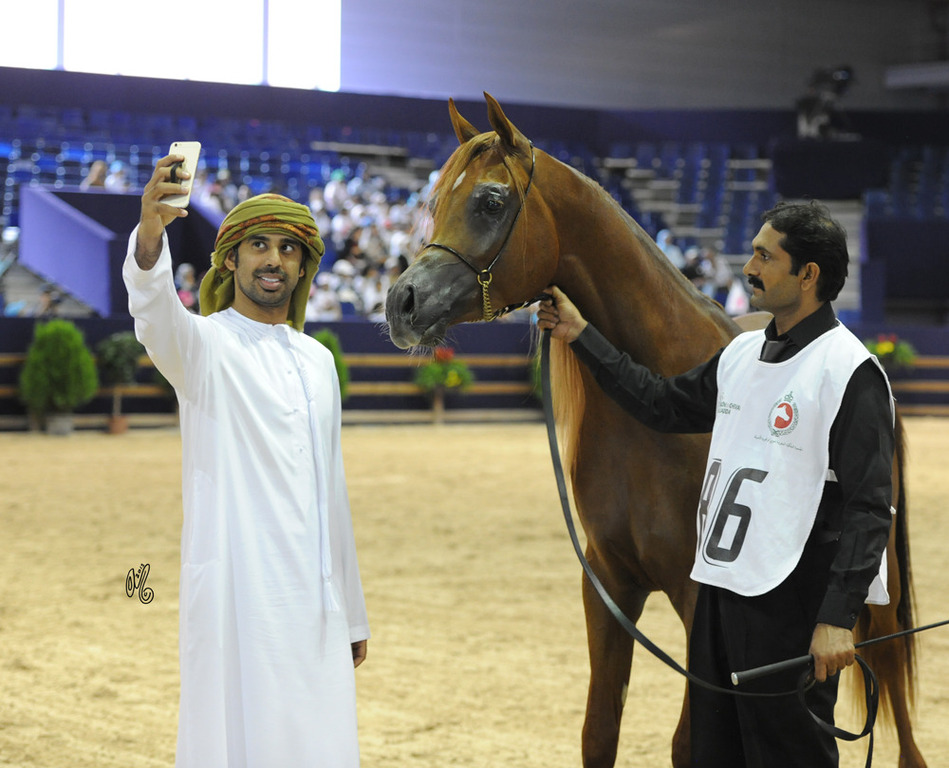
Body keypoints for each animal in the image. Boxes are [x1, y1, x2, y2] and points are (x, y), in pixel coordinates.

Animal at [385, 92, 925, 768]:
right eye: (435, 202)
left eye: (489, 200)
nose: (401, 303)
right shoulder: (608, 583)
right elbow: (599, 730)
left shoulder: (699, 597)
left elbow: (689, 742)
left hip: (880, 585)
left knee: (890, 672)